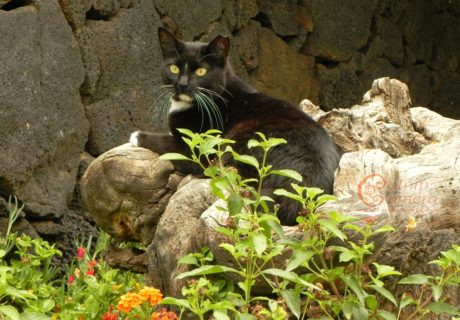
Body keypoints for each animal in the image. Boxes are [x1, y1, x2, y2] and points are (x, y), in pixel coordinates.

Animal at [129, 27, 342, 225]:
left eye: (200, 71)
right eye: (174, 68)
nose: (182, 84)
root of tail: (304, 190)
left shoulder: (198, 147)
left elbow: (168, 143)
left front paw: (136, 136)